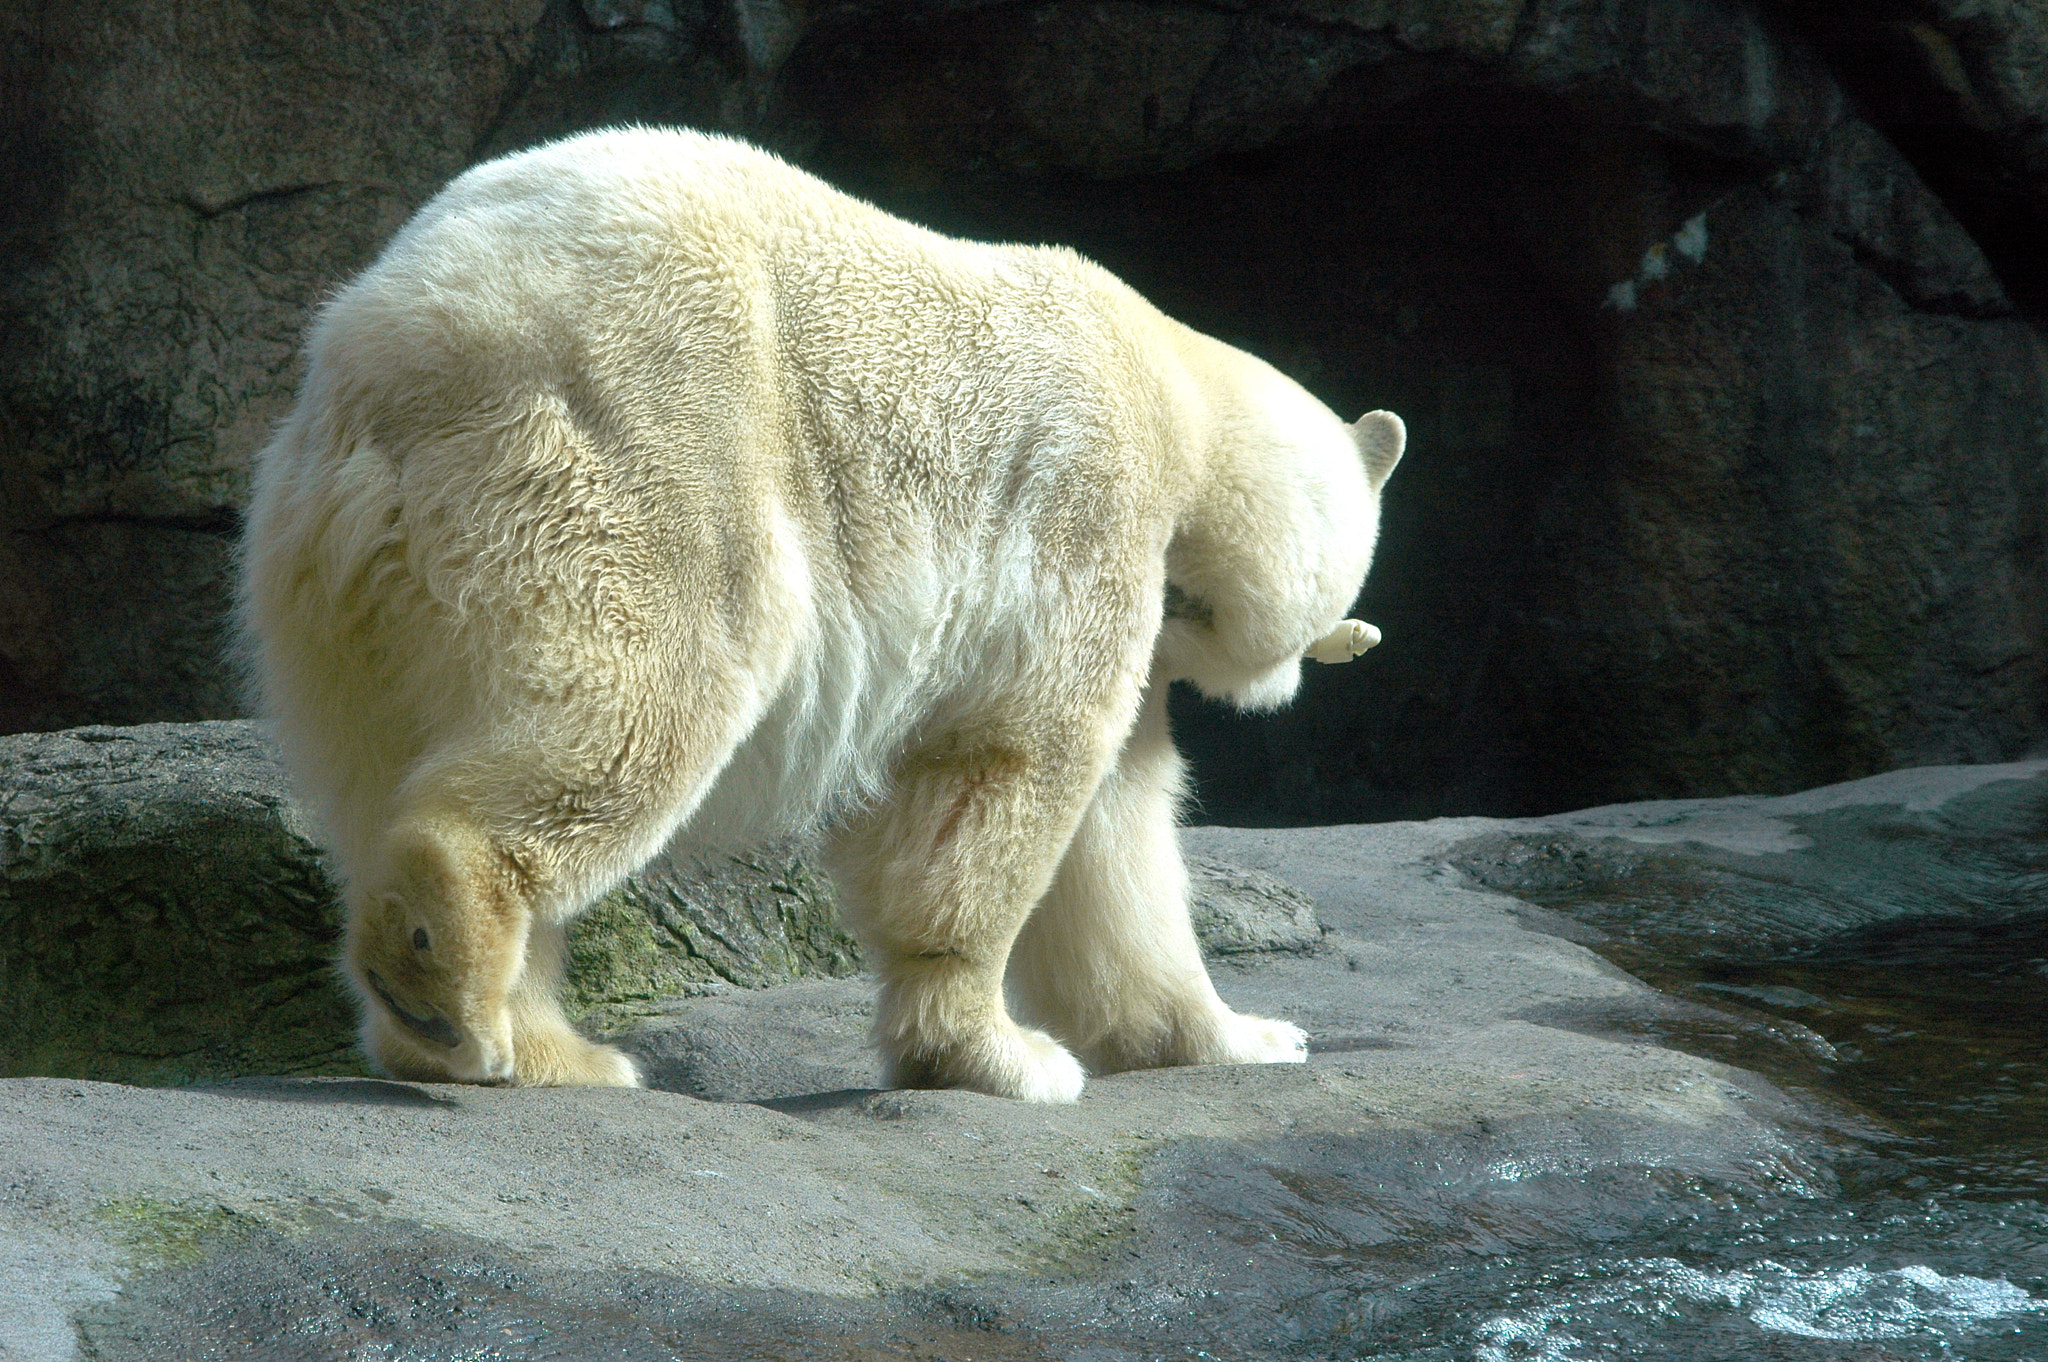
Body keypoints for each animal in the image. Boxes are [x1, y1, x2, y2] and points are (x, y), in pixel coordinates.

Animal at [235, 127, 1392, 1097]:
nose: (1292, 677)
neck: (1176, 389)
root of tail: (394, 337)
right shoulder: (1090, 506)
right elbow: (1002, 767)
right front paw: (1004, 1056)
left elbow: (1118, 837)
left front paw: (1238, 1034)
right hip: (639, 455)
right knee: (641, 698)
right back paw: (453, 989)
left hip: (339, 580)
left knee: (376, 760)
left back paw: (545, 1048)